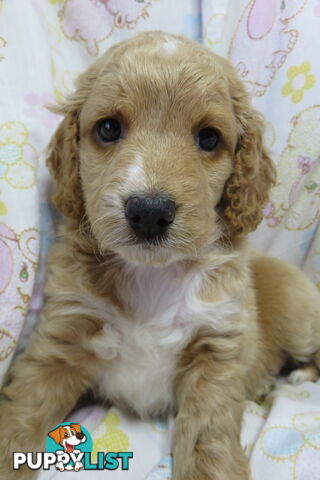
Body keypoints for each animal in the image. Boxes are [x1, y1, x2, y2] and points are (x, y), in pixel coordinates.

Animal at [0, 31, 320, 480]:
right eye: (109, 128)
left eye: (209, 138)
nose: (149, 212)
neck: (150, 275)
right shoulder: (61, 342)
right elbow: (21, 416)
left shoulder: (215, 351)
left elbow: (208, 440)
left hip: (299, 315)